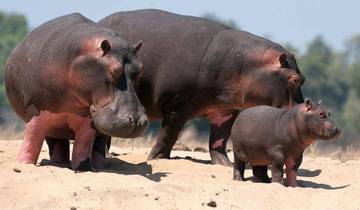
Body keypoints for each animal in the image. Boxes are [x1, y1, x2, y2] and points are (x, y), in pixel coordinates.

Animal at [4, 12, 148, 171]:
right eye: (114, 70)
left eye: (140, 69)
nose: (137, 121)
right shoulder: (36, 109)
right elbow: (32, 138)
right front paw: (23, 164)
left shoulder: (88, 120)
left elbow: (83, 144)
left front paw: (82, 168)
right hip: (54, 126)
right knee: (56, 142)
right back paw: (58, 163)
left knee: (98, 144)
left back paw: (99, 167)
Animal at [49, 9, 306, 167]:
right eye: (295, 79)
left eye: (302, 79)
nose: (303, 108)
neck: (245, 64)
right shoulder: (178, 104)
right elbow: (169, 134)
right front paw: (156, 158)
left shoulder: (225, 111)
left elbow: (219, 140)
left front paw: (224, 164)